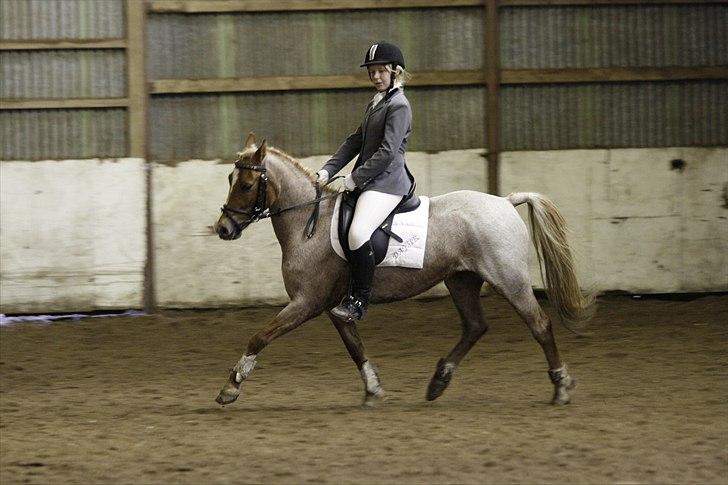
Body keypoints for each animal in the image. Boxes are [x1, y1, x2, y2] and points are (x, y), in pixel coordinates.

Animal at [213, 133, 594, 407]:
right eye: (230, 177)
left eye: (245, 185)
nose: (223, 229)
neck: (311, 222)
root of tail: (504, 201)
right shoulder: (334, 306)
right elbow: (354, 347)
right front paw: (373, 389)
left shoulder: (305, 302)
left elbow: (260, 336)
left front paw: (231, 386)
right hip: (461, 280)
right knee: (475, 326)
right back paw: (439, 382)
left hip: (508, 279)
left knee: (539, 324)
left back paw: (561, 386)